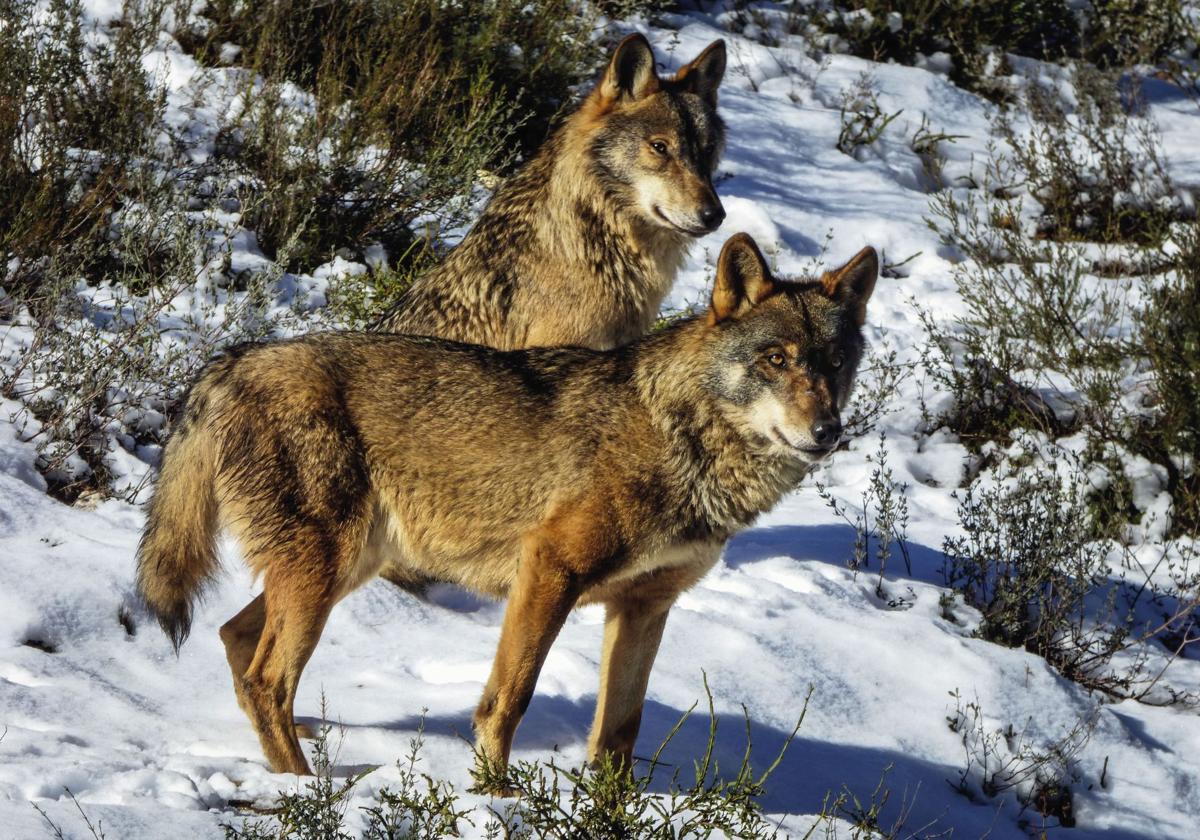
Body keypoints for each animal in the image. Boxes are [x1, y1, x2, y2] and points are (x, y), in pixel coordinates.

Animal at [138, 231, 883, 782]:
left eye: (835, 363)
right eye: (776, 358)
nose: (827, 432)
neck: (683, 438)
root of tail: (231, 360)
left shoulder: (645, 606)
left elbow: (620, 729)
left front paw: (606, 812)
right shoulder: (548, 570)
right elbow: (508, 700)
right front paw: (493, 797)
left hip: (343, 571)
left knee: (237, 643)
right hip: (327, 572)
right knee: (267, 677)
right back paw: (304, 788)